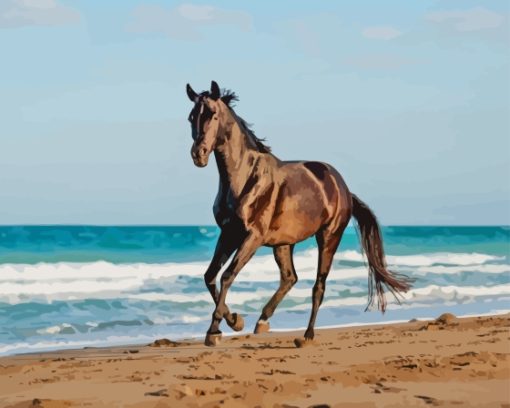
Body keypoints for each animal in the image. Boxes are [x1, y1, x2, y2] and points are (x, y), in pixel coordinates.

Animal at [185, 80, 412, 348]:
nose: (198, 154)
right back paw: (263, 321)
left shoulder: (252, 237)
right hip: (283, 243)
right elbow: (210, 276)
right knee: (289, 277)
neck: (244, 178)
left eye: (213, 114)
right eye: (191, 117)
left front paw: (214, 331)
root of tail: (343, 188)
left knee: (318, 286)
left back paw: (307, 336)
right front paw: (233, 321)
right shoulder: (229, 233)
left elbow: (227, 275)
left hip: (328, 237)